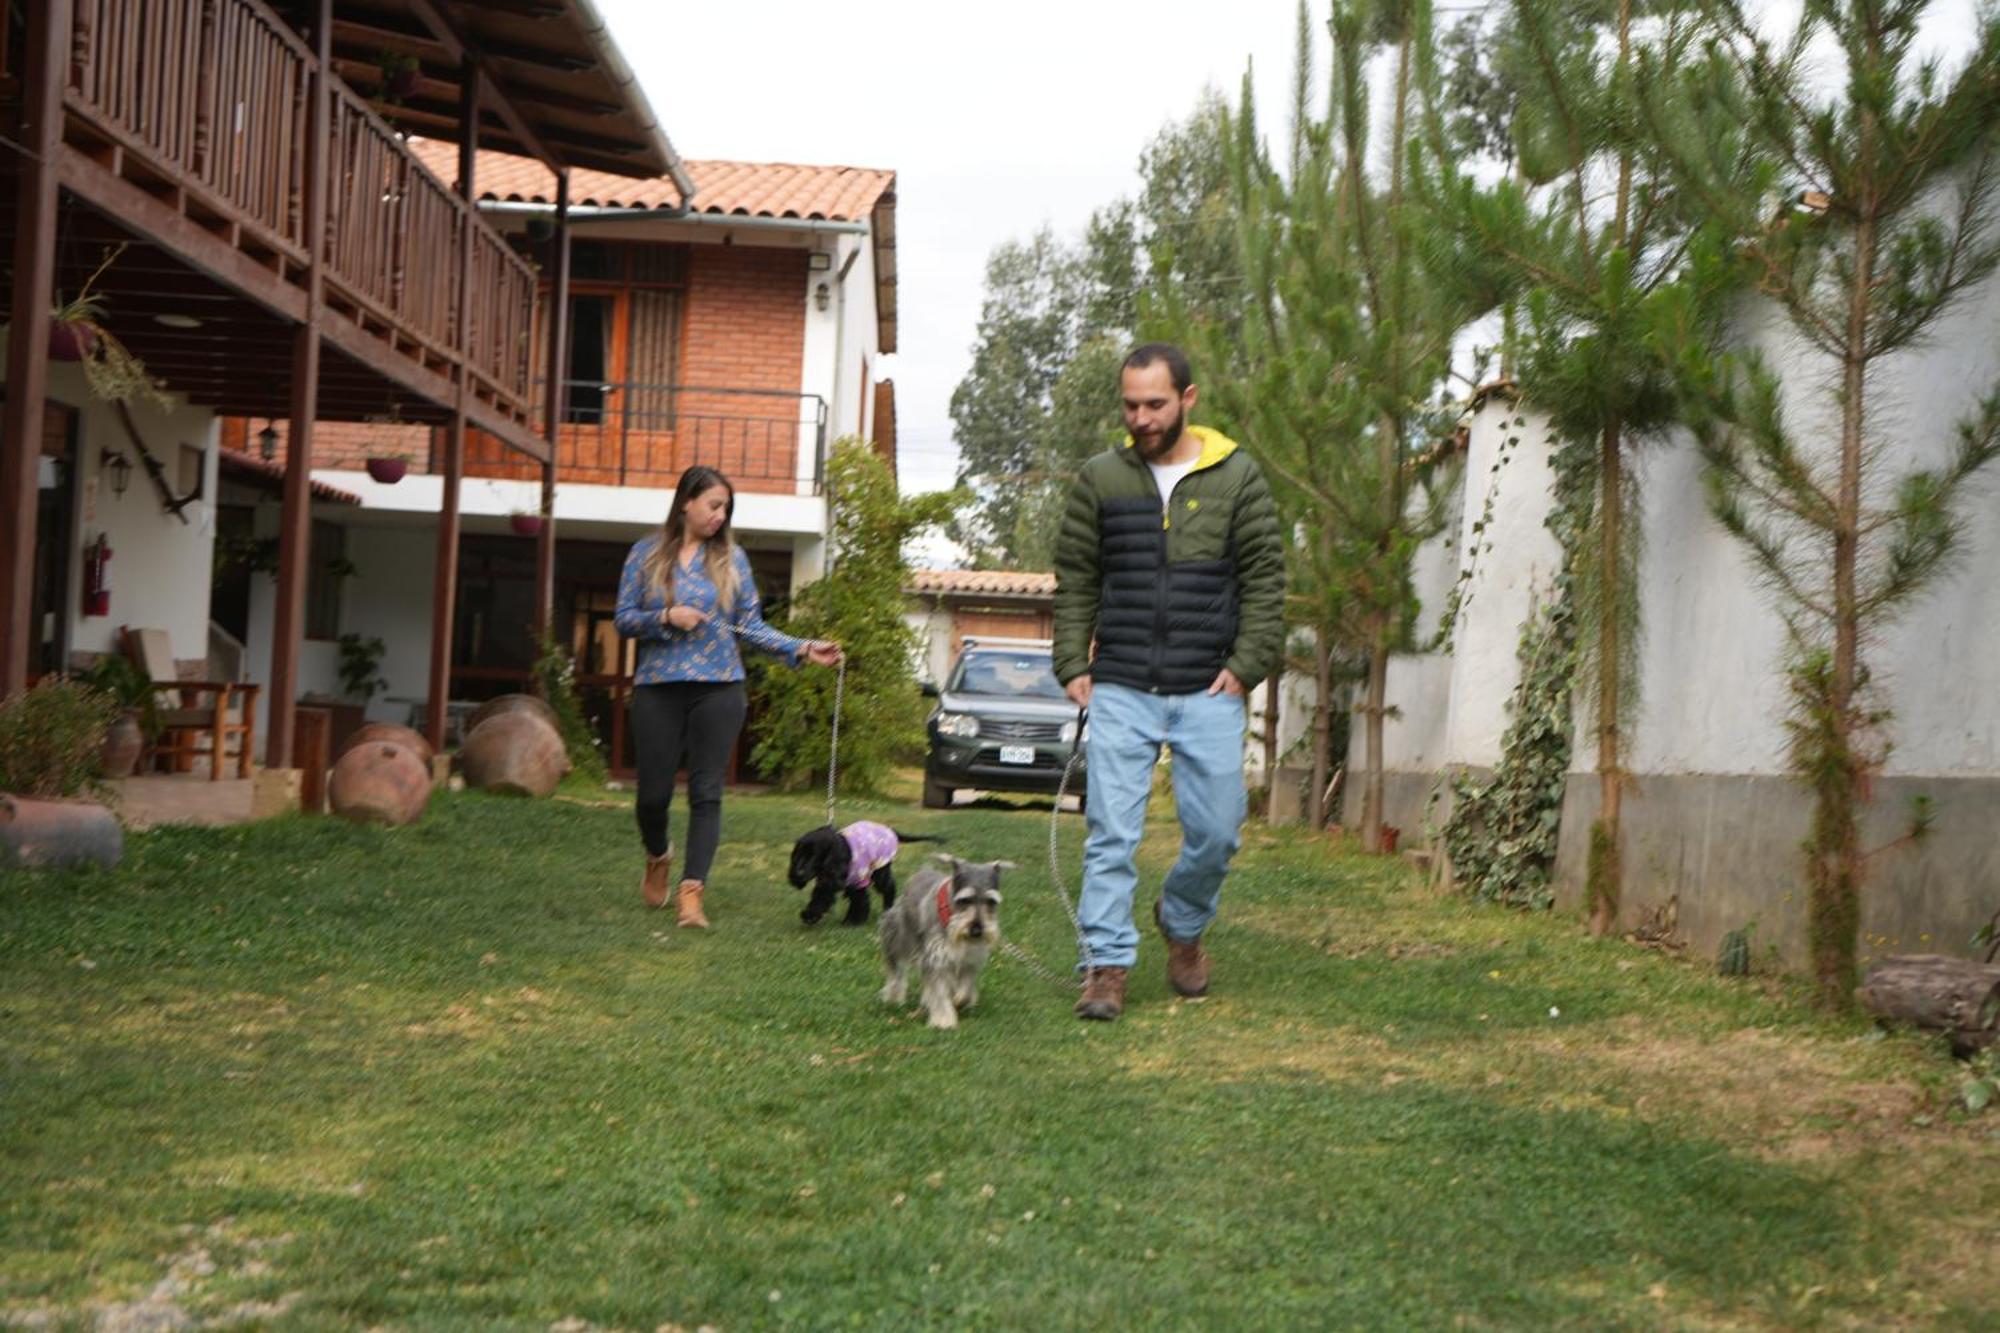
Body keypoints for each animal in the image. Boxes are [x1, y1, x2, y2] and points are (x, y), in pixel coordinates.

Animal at [784, 816, 940, 920]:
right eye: (798, 855)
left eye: (814, 856)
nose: (798, 873)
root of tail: (890, 830)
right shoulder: (845, 880)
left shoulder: (856, 878)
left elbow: (846, 898)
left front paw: (811, 915)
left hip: (880, 868)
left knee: (888, 886)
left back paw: (888, 907)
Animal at [880, 852, 1016, 1024]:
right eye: (965, 900)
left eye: (991, 901)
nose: (976, 930)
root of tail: (922, 871)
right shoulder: (937, 958)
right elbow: (939, 990)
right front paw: (944, 1020)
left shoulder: (970, 959)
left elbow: (965, 987)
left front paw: (960, 1000)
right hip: (897, 937)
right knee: (896, 971)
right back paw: (893, 996)